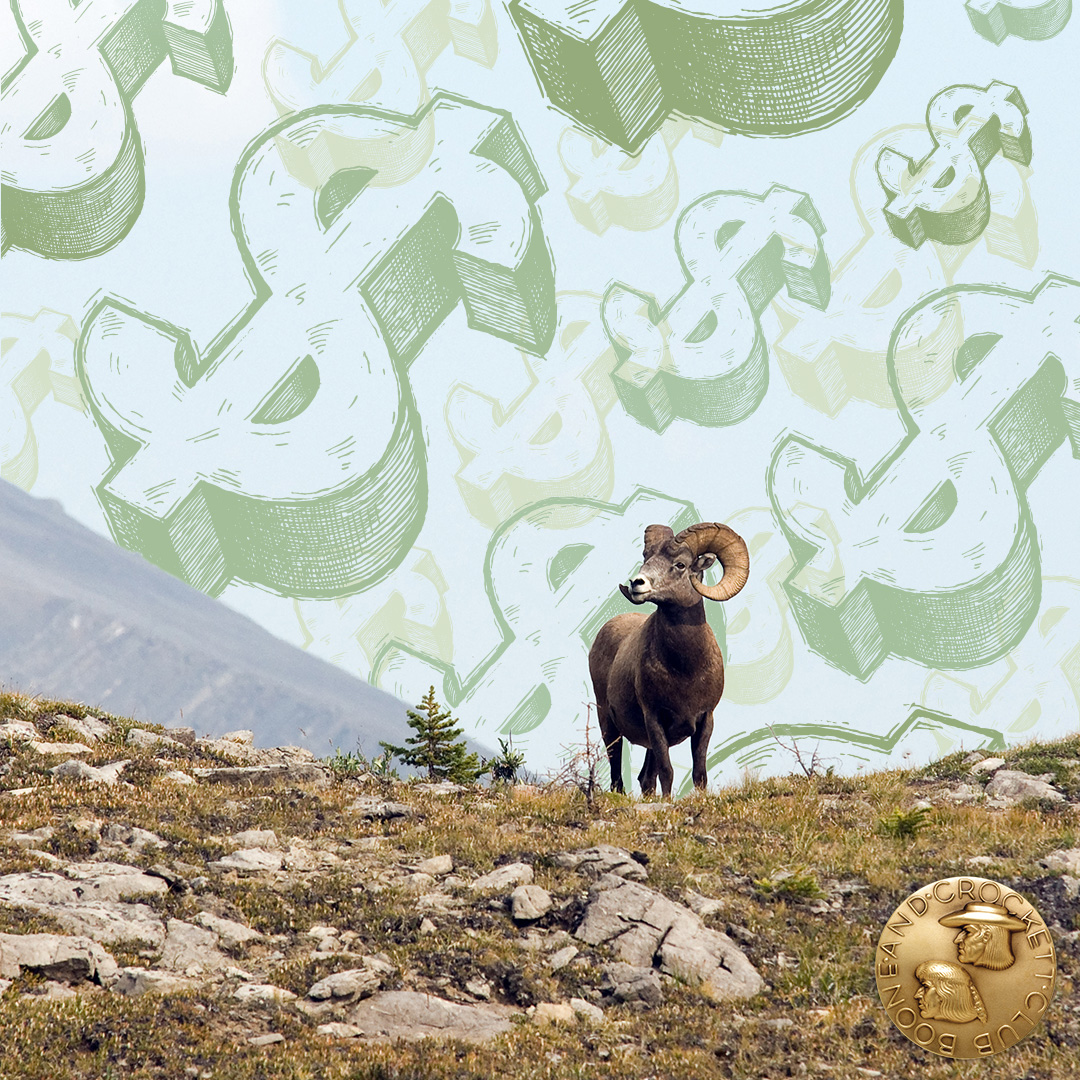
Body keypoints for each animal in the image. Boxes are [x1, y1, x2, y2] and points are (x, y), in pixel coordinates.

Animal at [588, 521, 750, 798]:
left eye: (680, 565)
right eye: (646, 558)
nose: (637, 583)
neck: (685, 670)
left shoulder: (705, 719)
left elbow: (699, 773)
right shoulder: (655, 720)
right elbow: (667, 771)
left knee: (645, 779)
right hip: (608, 725)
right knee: (618, 777)